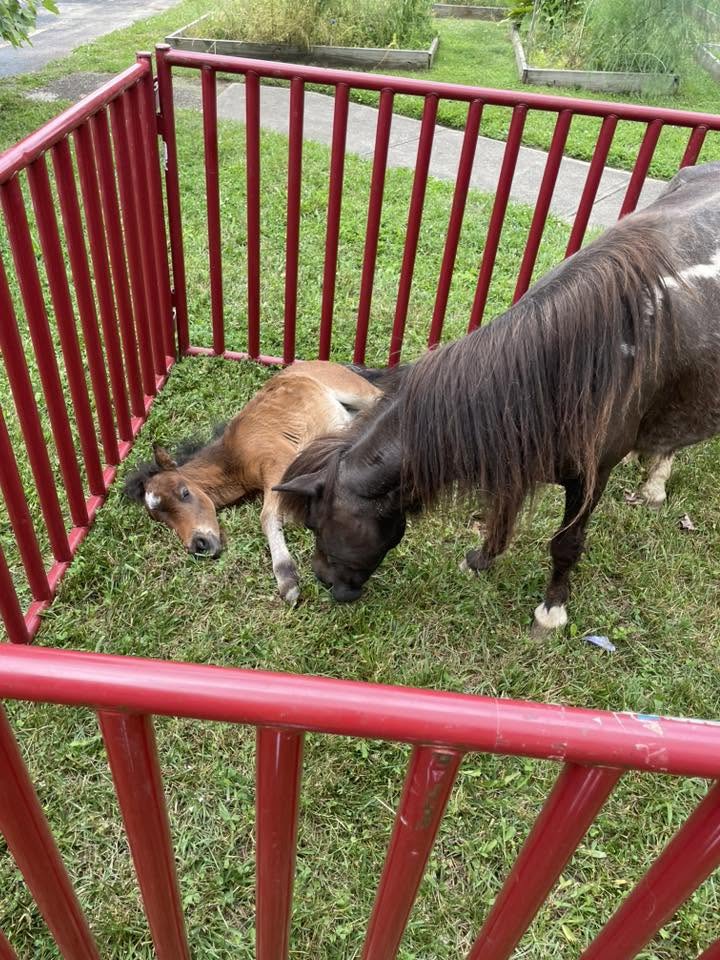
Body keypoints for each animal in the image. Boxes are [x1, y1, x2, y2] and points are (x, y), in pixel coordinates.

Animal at [123, 361, 385, 603]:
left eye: (184, 492)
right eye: (158, 518)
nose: (198, 545)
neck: (234, 461)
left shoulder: (279, 462)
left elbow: (267, 516)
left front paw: (287, 578)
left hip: (356, 391)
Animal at [275, 161, 720, 631]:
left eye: (315, 524)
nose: (327, 583)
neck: (560, 373)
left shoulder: (590, 478)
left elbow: (566, 543)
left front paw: (551, 610)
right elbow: (500, 517)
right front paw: (481, 560)